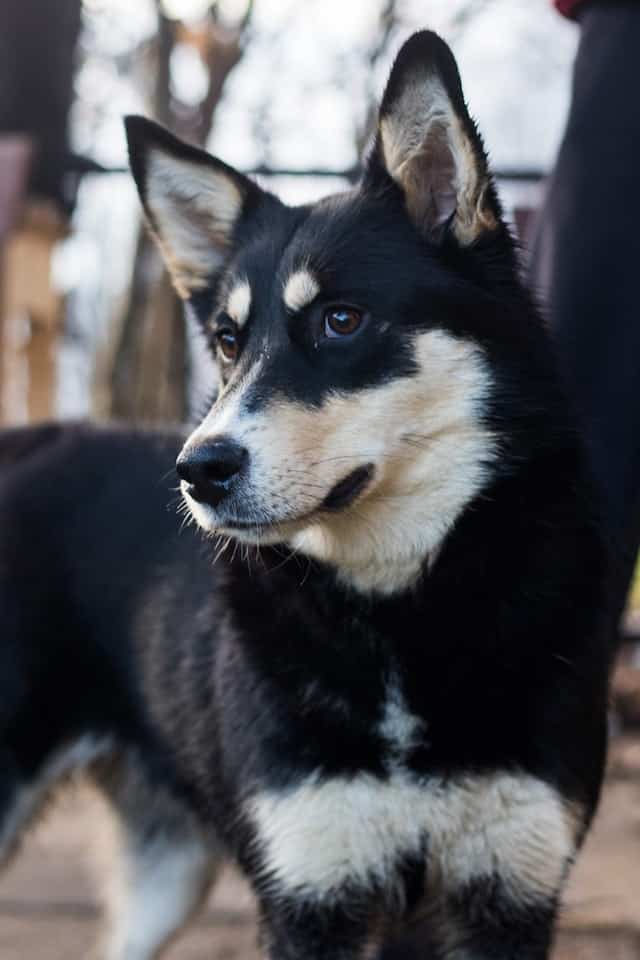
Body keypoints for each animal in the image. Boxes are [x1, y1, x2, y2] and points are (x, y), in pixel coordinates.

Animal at [0, 30, 608, 960]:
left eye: (341, 320)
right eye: (226, 340)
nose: (198, 470)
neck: (398, 614)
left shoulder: (509, 887)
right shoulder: (313, 893)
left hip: (168, 875)